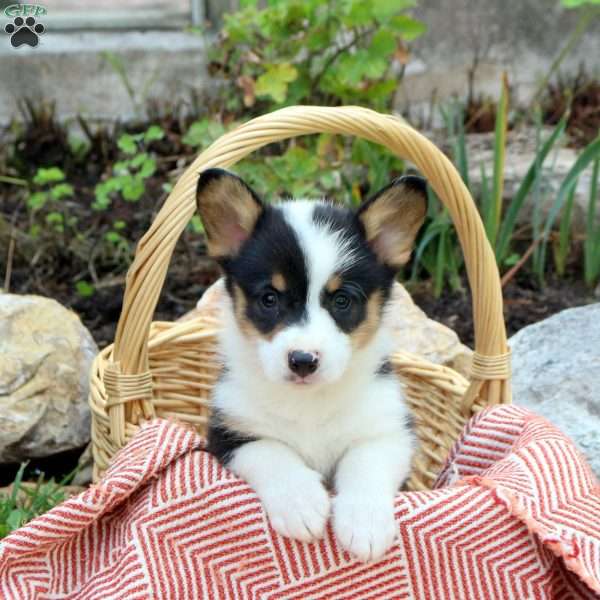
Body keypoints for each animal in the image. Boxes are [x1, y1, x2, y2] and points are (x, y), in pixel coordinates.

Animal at [197, 169, 426, 564]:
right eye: (269, 298)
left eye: (342, 300)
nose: (303, 360)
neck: (308, 404)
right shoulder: (229, 433)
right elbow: (272, 452)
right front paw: (300, 505)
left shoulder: (389, 432)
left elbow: (365, 463)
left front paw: (364, 524)